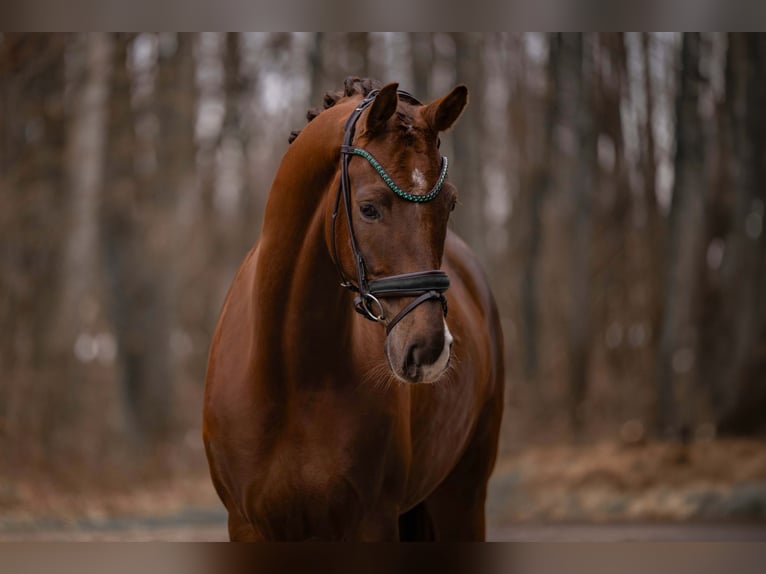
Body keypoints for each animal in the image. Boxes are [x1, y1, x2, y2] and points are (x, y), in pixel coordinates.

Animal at [203, 77, 504, 541]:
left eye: (450, 204)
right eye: (368, 207)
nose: (429, 350)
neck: (292, 375)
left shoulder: (371, 522)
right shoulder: (247, 525)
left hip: (463, 497)